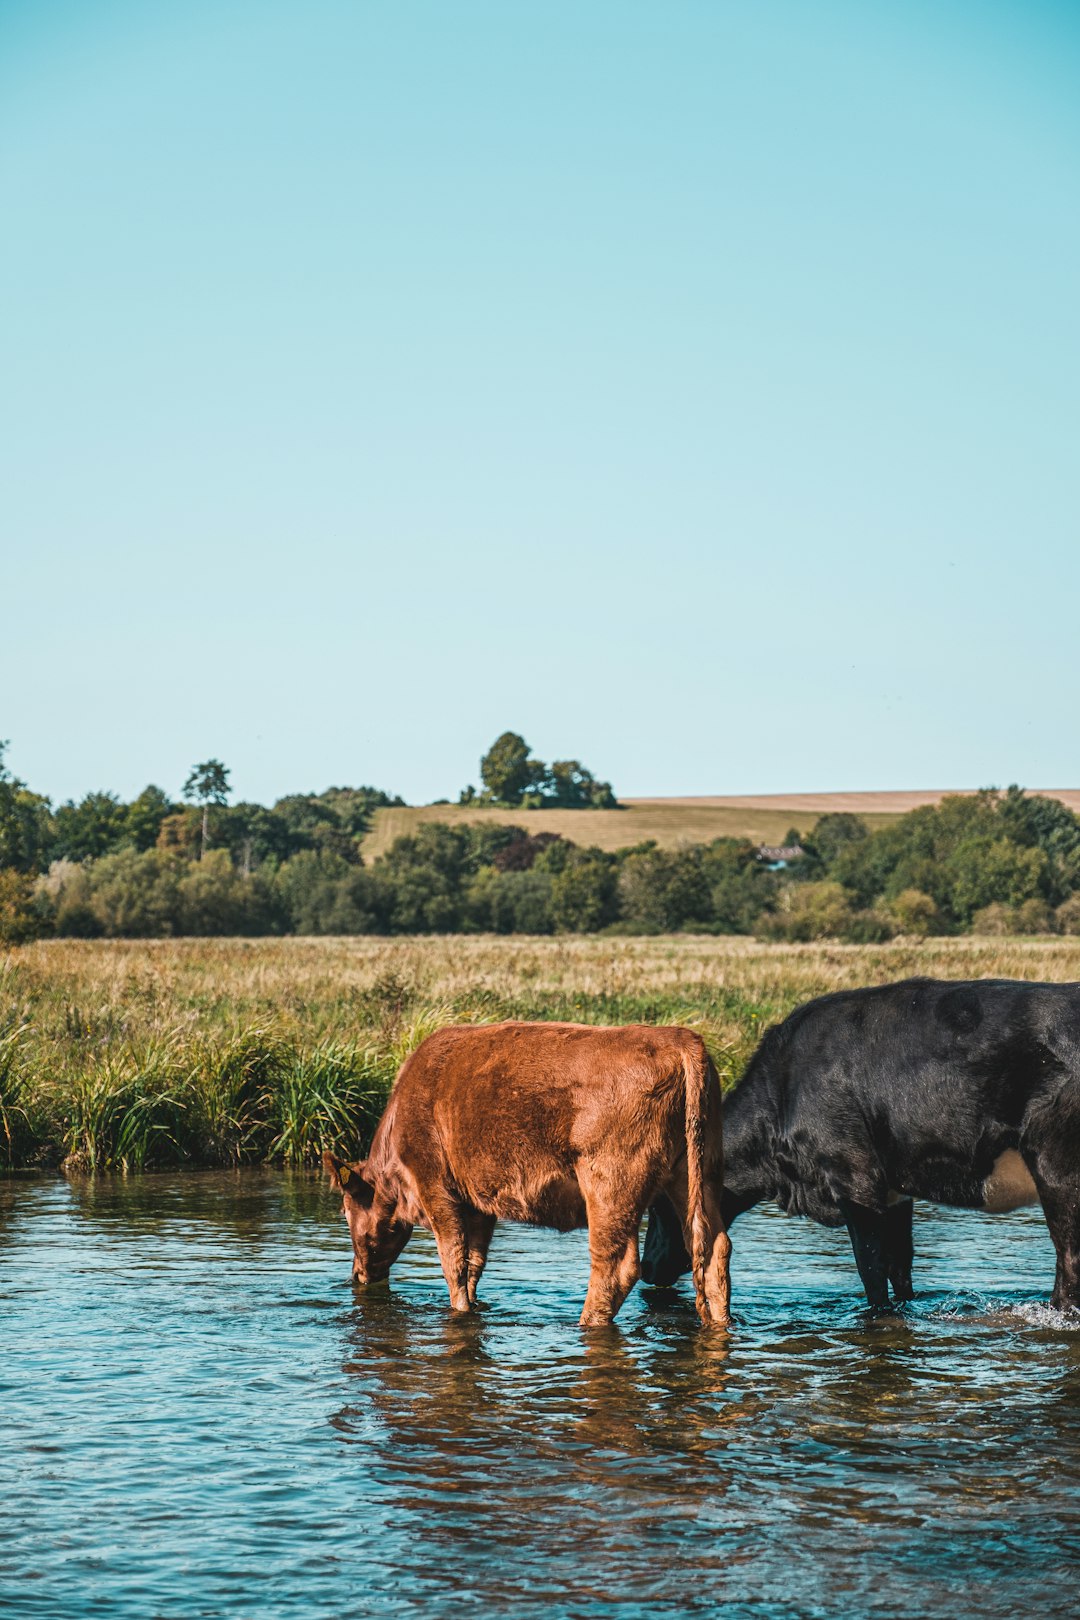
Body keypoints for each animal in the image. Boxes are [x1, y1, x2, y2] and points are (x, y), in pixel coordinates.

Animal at [325, 1023, 731, 1328]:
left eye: (346, 1211)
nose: (357, 1274)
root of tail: (679, 1039)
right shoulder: (478, 1204)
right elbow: (473, 1263)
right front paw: (472, 1307)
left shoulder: (436, 1187)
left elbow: (453, 1260)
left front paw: (458, 1311)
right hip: (698, 1173)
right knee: (714, 1249)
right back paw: (720, 1324)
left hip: (611, 1183)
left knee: (615, 1266)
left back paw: (586, 1323)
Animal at [641, 978, 1080, 1308]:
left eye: (659, 1204)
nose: (646, 1270)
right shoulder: (894, 1192)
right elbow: (900, 1270)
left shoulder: (854, 1178)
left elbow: (872, 1272)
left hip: (1059, 1174)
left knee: (1069, 1270)